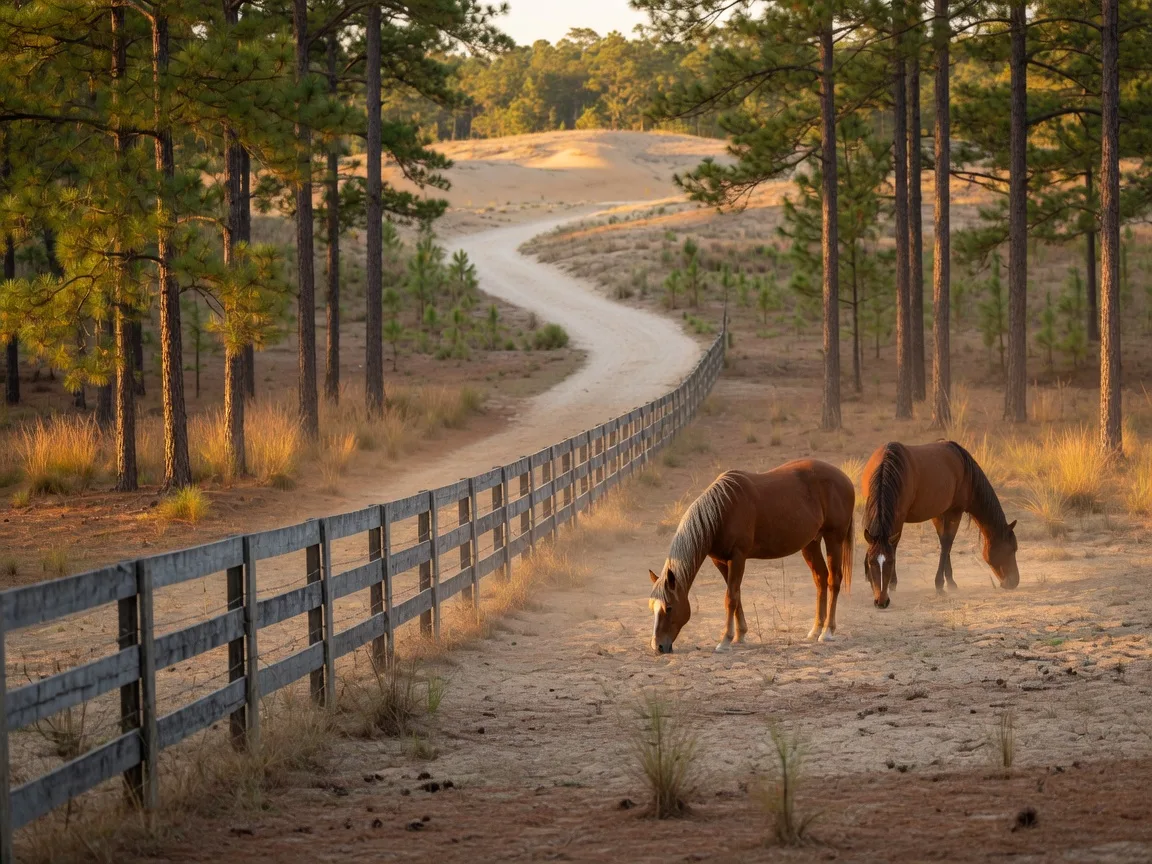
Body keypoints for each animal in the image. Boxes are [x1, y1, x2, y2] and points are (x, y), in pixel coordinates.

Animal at [648, 461, 854, 653]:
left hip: (834, 539)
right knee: (820, 579)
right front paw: (740, 635)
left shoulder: (738, 557)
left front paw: (725, 640)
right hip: (811, 543)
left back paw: (827, 631)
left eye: (669, 607)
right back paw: (815, 630)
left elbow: (731, 597)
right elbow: (735, 595)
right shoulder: (720, 561)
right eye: (653, 608)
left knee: (833, 580)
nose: (658, 646)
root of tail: (845, 479)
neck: (722, 511)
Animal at [860, 440, 1020, 609]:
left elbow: (944, 543)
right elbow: (946, 543)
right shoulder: (954, 512)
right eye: (1012, 549)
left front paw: (948, 582)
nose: (1014, 581)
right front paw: (938, 584)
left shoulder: (940, 513)